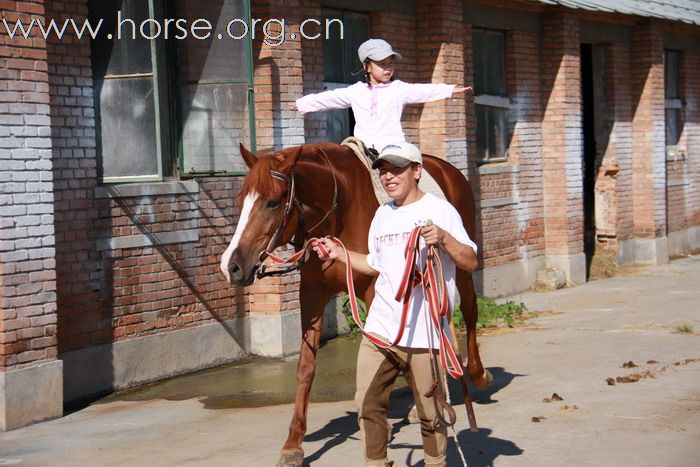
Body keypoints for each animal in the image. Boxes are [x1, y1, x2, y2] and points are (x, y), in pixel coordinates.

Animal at [221, 143, 490, 467]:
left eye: (273, 202)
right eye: (240, 201)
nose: (232, 266)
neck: (341, 212)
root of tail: (449, 170)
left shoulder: (376, 291)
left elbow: (389, 351)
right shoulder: (312, 293)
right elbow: (306, 367)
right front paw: (293, 444)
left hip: (459, 266)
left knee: (469, 311)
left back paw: (477, 374)